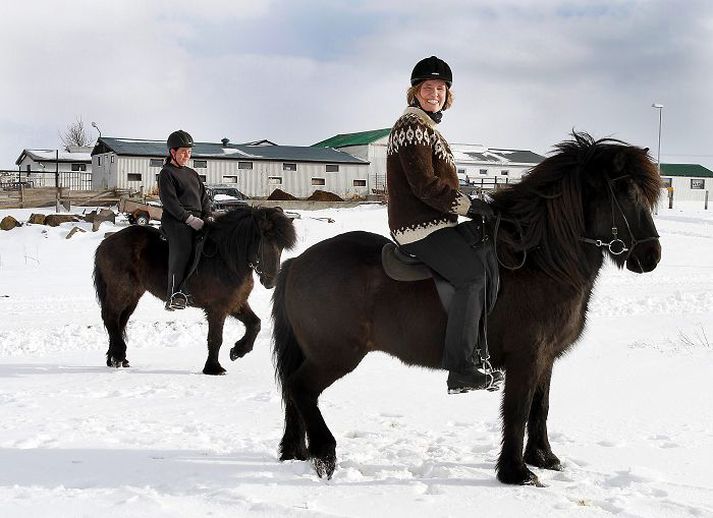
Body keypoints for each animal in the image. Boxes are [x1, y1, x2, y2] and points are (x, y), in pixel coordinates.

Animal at [94, 205, 294, 376]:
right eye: (265, 240)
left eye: (282, 246)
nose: (271, 281)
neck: (226, 259)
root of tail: (106, 242)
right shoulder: (217, 309)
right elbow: (215, 338)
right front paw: (213, 368)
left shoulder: (236, 303)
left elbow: (255, 324)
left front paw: (237, 351)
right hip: (121, 290)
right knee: (111, 318)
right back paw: (118, 356)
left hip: (133, 295)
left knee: (120, 321)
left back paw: (117, 359)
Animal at [268, 133, 660, 488]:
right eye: (625, 192)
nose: (651, 257)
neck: (540, 262)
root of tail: (297, 263)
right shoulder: (526, 357)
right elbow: (517, 410)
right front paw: (515, 473)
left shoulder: (546, 357)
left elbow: (541, 406)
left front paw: (544, 458)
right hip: (335, 354)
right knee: (301, 389)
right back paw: (324, 454)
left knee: (293, 392)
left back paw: (297, 451)